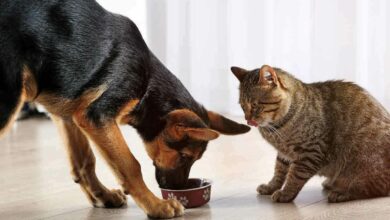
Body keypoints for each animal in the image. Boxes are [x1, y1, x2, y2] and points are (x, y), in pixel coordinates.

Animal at [0, 0, 250, 218]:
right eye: (184, 156)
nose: (180, 190)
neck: (147, 85)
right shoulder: (97, 116)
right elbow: (130, 165)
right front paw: (156, 206)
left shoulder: (68, 114)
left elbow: (84, 162)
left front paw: (102, 196)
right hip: (8, 103)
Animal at [232, 64, 390, 202]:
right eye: (242, 106)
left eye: (255, 105)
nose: (248, 120)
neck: (277, 126)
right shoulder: (284, 154)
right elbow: (279, 172)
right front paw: (271, 187)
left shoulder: (310, 151)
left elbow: (295, 176)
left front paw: (285, 193)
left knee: (372, 188)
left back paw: (341, 193)